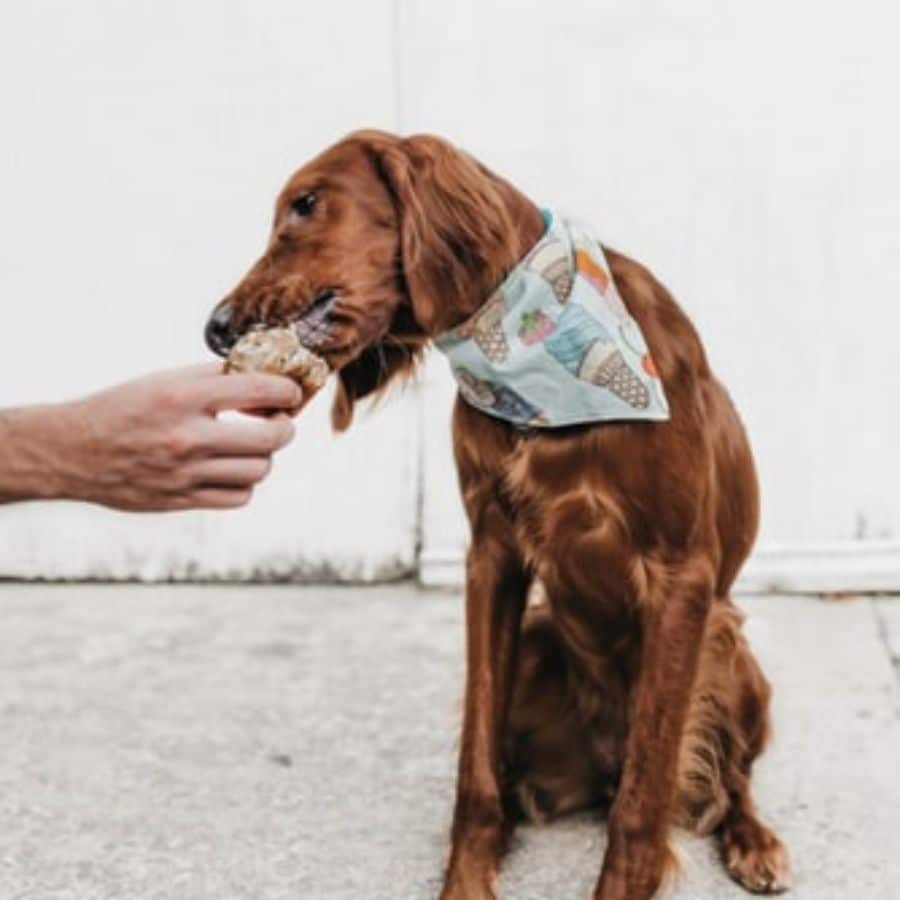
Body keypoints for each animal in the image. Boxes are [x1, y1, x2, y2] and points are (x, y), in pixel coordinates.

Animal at [204, 130, 788, 896]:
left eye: (305, 204)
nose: (214, 329)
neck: (534, 367)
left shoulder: (681, 575)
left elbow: (644, 802)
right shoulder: (493, 556)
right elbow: (475, 766)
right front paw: (465, 878)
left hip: (729, 652)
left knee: (727, 783)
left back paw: (756, 842)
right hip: (543, 643)